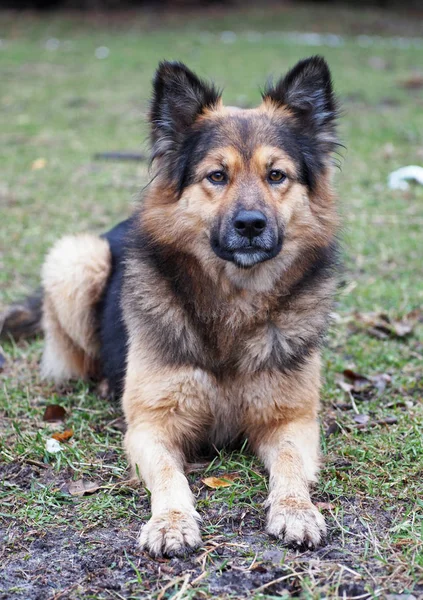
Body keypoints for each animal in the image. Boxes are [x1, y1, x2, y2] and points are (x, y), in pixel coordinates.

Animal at [3, 56, 342, 556]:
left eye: (276, 175)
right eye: (216, 176)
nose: (250, 225)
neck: (232, 305)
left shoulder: (292, 421)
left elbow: (289, 465)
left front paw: (296, 511)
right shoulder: (151, 426)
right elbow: (169, 475)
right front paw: (171, 522)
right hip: (75, 259)